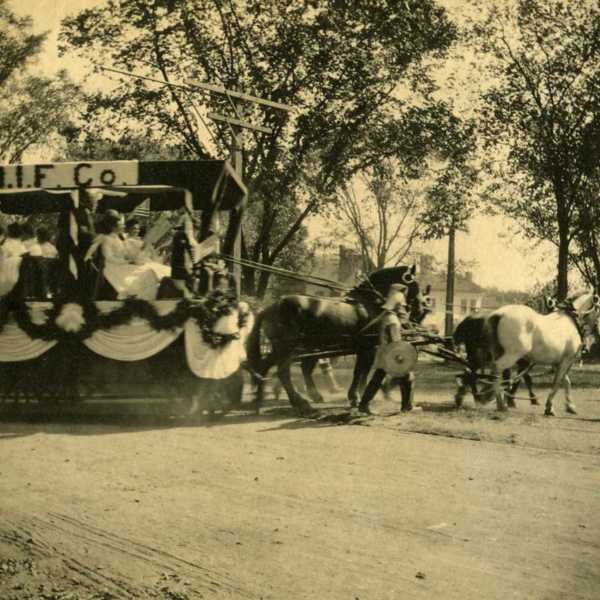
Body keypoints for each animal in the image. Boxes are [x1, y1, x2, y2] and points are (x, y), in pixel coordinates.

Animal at [246, 268, 428, 418]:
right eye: (414, 282)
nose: (420, 308)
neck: (367, 302)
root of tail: (269, 307)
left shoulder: (363, 348)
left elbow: (361, 372)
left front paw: (358, 397)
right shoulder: (367, 348)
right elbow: (359, 372)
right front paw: (356, 398)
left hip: (288, 348)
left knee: (272, 368)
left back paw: (264, 401)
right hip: (287, 347)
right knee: (280, 370)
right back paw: (296, 403)